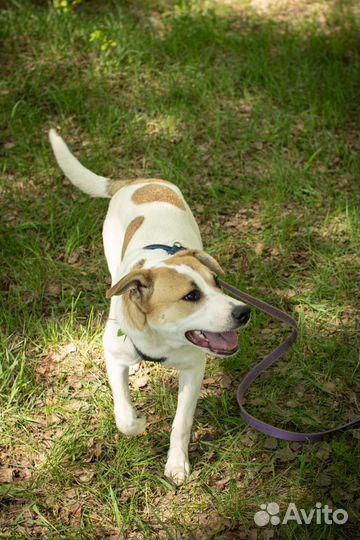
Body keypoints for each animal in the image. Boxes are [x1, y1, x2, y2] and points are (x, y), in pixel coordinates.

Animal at [48, 129, 250, 484]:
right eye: (190, 296)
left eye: (217, 282)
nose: (243, 312)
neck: (161, 341)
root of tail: (138, 180)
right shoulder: (114, 353)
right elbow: (124, 417)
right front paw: (138, 423)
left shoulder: (194, 369)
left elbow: (181, 423)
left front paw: (177, 463)